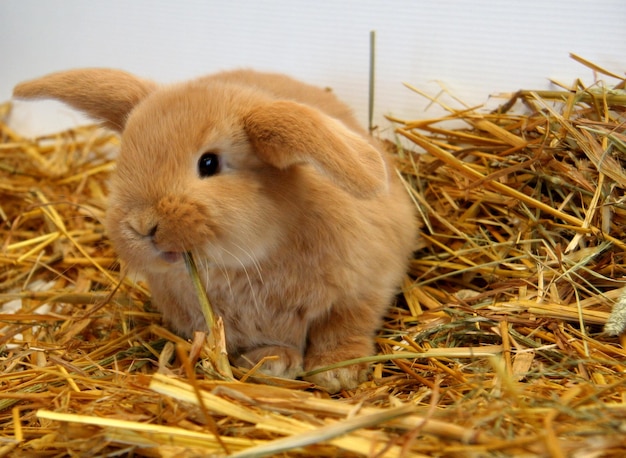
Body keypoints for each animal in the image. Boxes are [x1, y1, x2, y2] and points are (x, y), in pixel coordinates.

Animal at [13, 68, 414, 394]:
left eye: (209, 163)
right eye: (125, 158)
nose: (141, 225)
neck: (246, 261)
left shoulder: (363, 289)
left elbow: (343, 328)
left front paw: (336, 373)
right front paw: (271, 363)